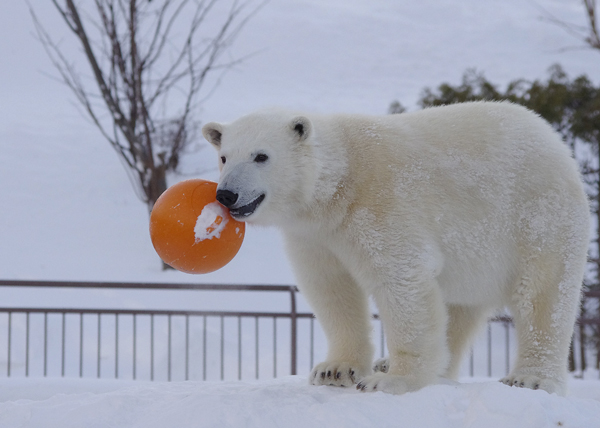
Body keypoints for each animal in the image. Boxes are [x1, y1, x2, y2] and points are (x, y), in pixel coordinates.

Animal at [204, 102, 588, 396]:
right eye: (224, 157)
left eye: (261, 156)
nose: (227, 194)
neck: (339, 183)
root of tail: (555, 142)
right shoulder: (315, 236)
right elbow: (331, 288)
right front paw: (336, 370)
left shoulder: (382, 206)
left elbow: (401, 281)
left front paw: (391, 380)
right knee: (459, 308)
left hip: (537, 216)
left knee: (543, 295)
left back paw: (530, 377)